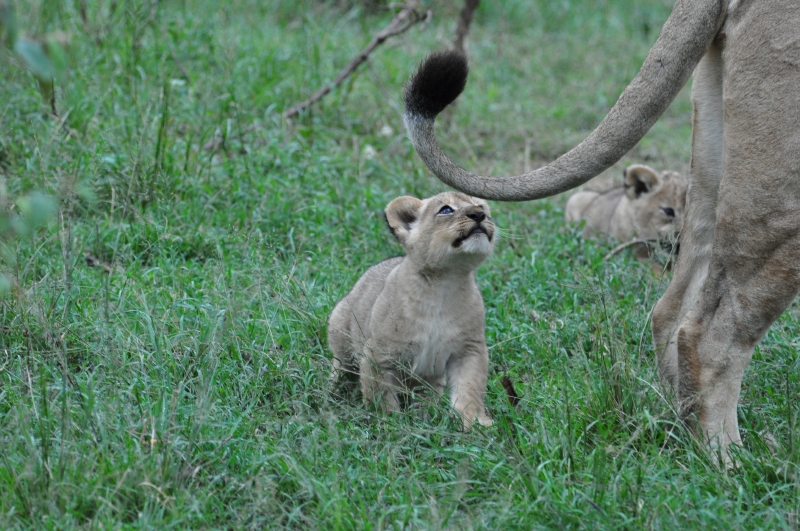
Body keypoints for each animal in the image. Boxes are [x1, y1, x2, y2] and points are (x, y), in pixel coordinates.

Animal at [328, 191, 495, 429]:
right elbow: (381, 394)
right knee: (340, 365)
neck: (446, 283)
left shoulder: (469, 349)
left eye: (481, 206)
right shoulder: (379, 353)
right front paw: (390, 424)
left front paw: (473, 423)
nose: (479, 215)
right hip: (340, 328)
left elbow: (470, 387)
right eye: (446, 210)